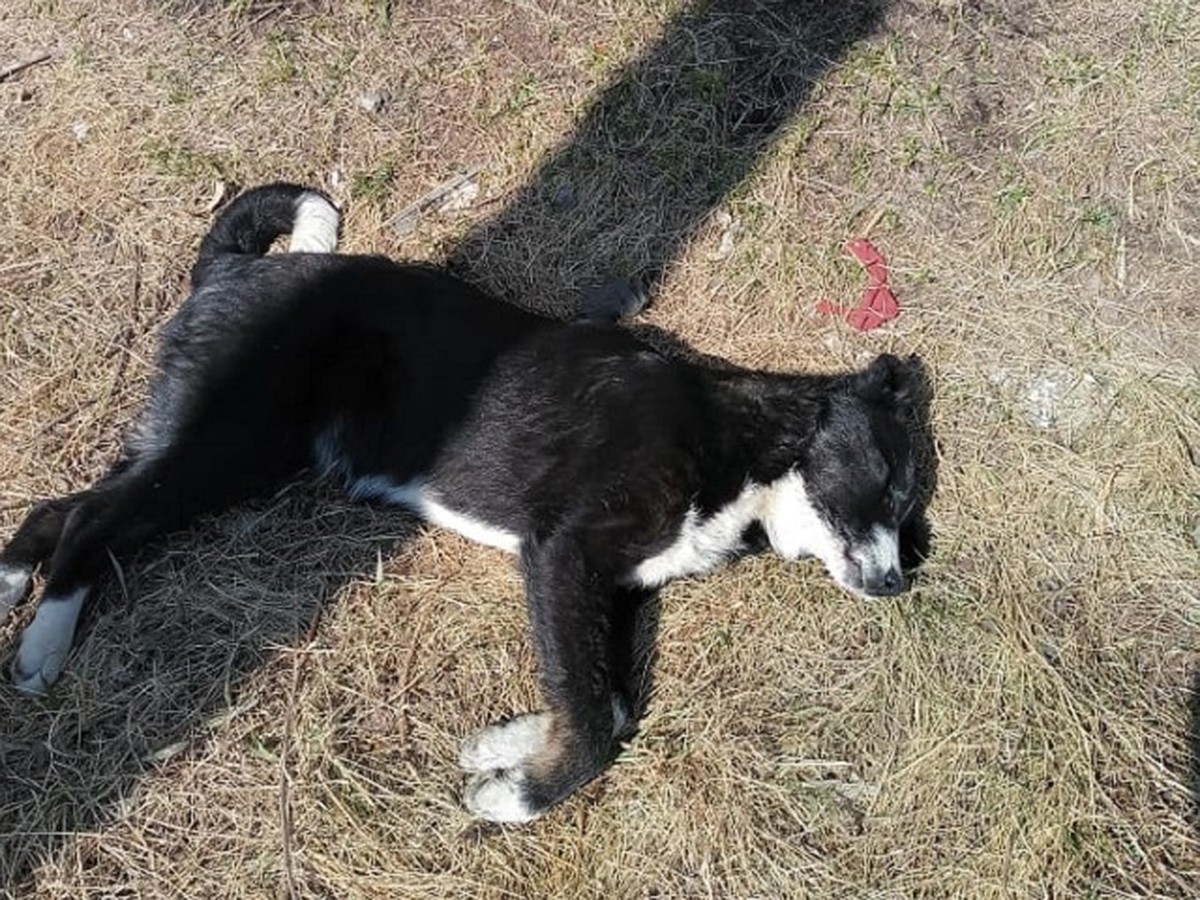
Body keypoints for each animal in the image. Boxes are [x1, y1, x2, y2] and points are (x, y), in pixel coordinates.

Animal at [0, 183, 921, 825]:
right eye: (891, 484)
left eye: (907, 511)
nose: (894, 585)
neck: (742, 438)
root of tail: (241, 262)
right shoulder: (565, 553)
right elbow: (597, 720)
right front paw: (520, 797)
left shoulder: (609, 582)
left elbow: (609, 700)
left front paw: (506, 749)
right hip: (224, 441)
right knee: (91, 518)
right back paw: (43, 644)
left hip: (226, 453)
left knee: (61, 507)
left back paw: (12, 587)